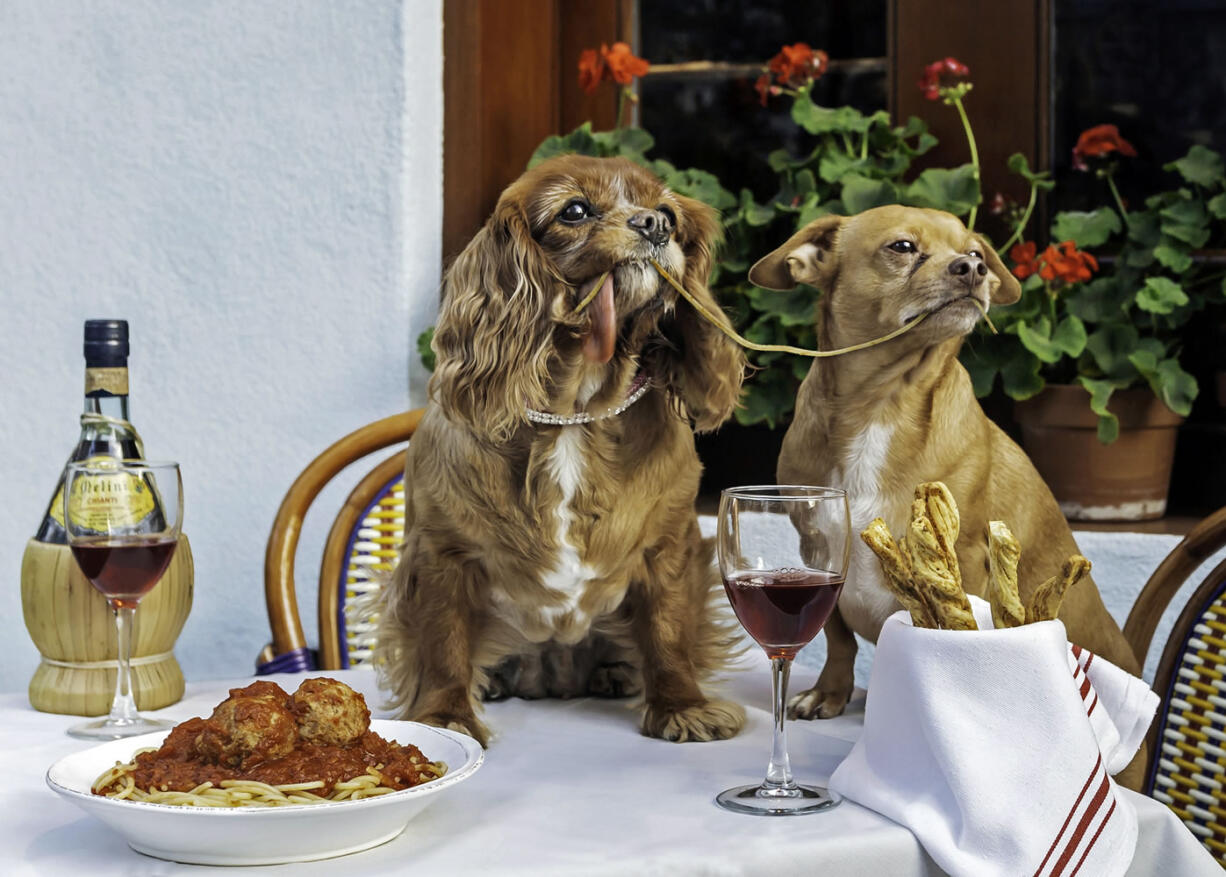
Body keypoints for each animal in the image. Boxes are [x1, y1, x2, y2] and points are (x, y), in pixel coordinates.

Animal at [375, 154, 745, 745]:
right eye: (574, 211)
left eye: (668, 213)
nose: (654, 226)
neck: (575, 412)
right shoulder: (442, 553)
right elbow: (443, 641)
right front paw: (446, 718)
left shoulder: (669, 546)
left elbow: (669, 630)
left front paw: (682, 706)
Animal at [750, 206, 1142, 789]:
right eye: (903, 247)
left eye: (976, 253)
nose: (972, 269)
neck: (882, 403)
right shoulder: (818, 547)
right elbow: (838, 637)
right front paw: (830, 694)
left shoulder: (968, 561)